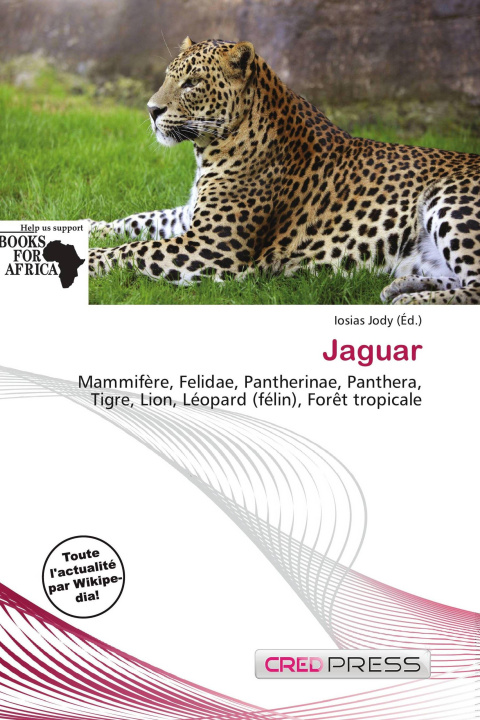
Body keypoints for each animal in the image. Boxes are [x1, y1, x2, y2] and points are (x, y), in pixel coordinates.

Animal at [88, 37, 480, 304]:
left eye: (192, 83)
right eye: (169, 77)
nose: (151, 109)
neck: (212, 148)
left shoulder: (212, 246)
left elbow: (132, 250)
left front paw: (87, 258)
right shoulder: (190, 219)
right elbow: (136, 221)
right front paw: (85, 227)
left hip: (450, 200)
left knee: (473, 289)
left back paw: (410, 300)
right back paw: (400, 286)